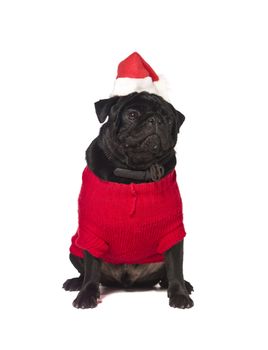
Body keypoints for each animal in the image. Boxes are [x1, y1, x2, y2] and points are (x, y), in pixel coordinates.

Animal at [62, 91, 193, 308]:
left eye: (167, 119)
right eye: (132, 115)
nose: (155, 120)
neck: (133, 173)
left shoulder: (172, 232)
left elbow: (176, 267)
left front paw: (180, 294)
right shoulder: (91, 232)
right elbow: (91, 268)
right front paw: (86, 294)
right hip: (75, 249)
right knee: (85, 271)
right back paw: (76, 283)